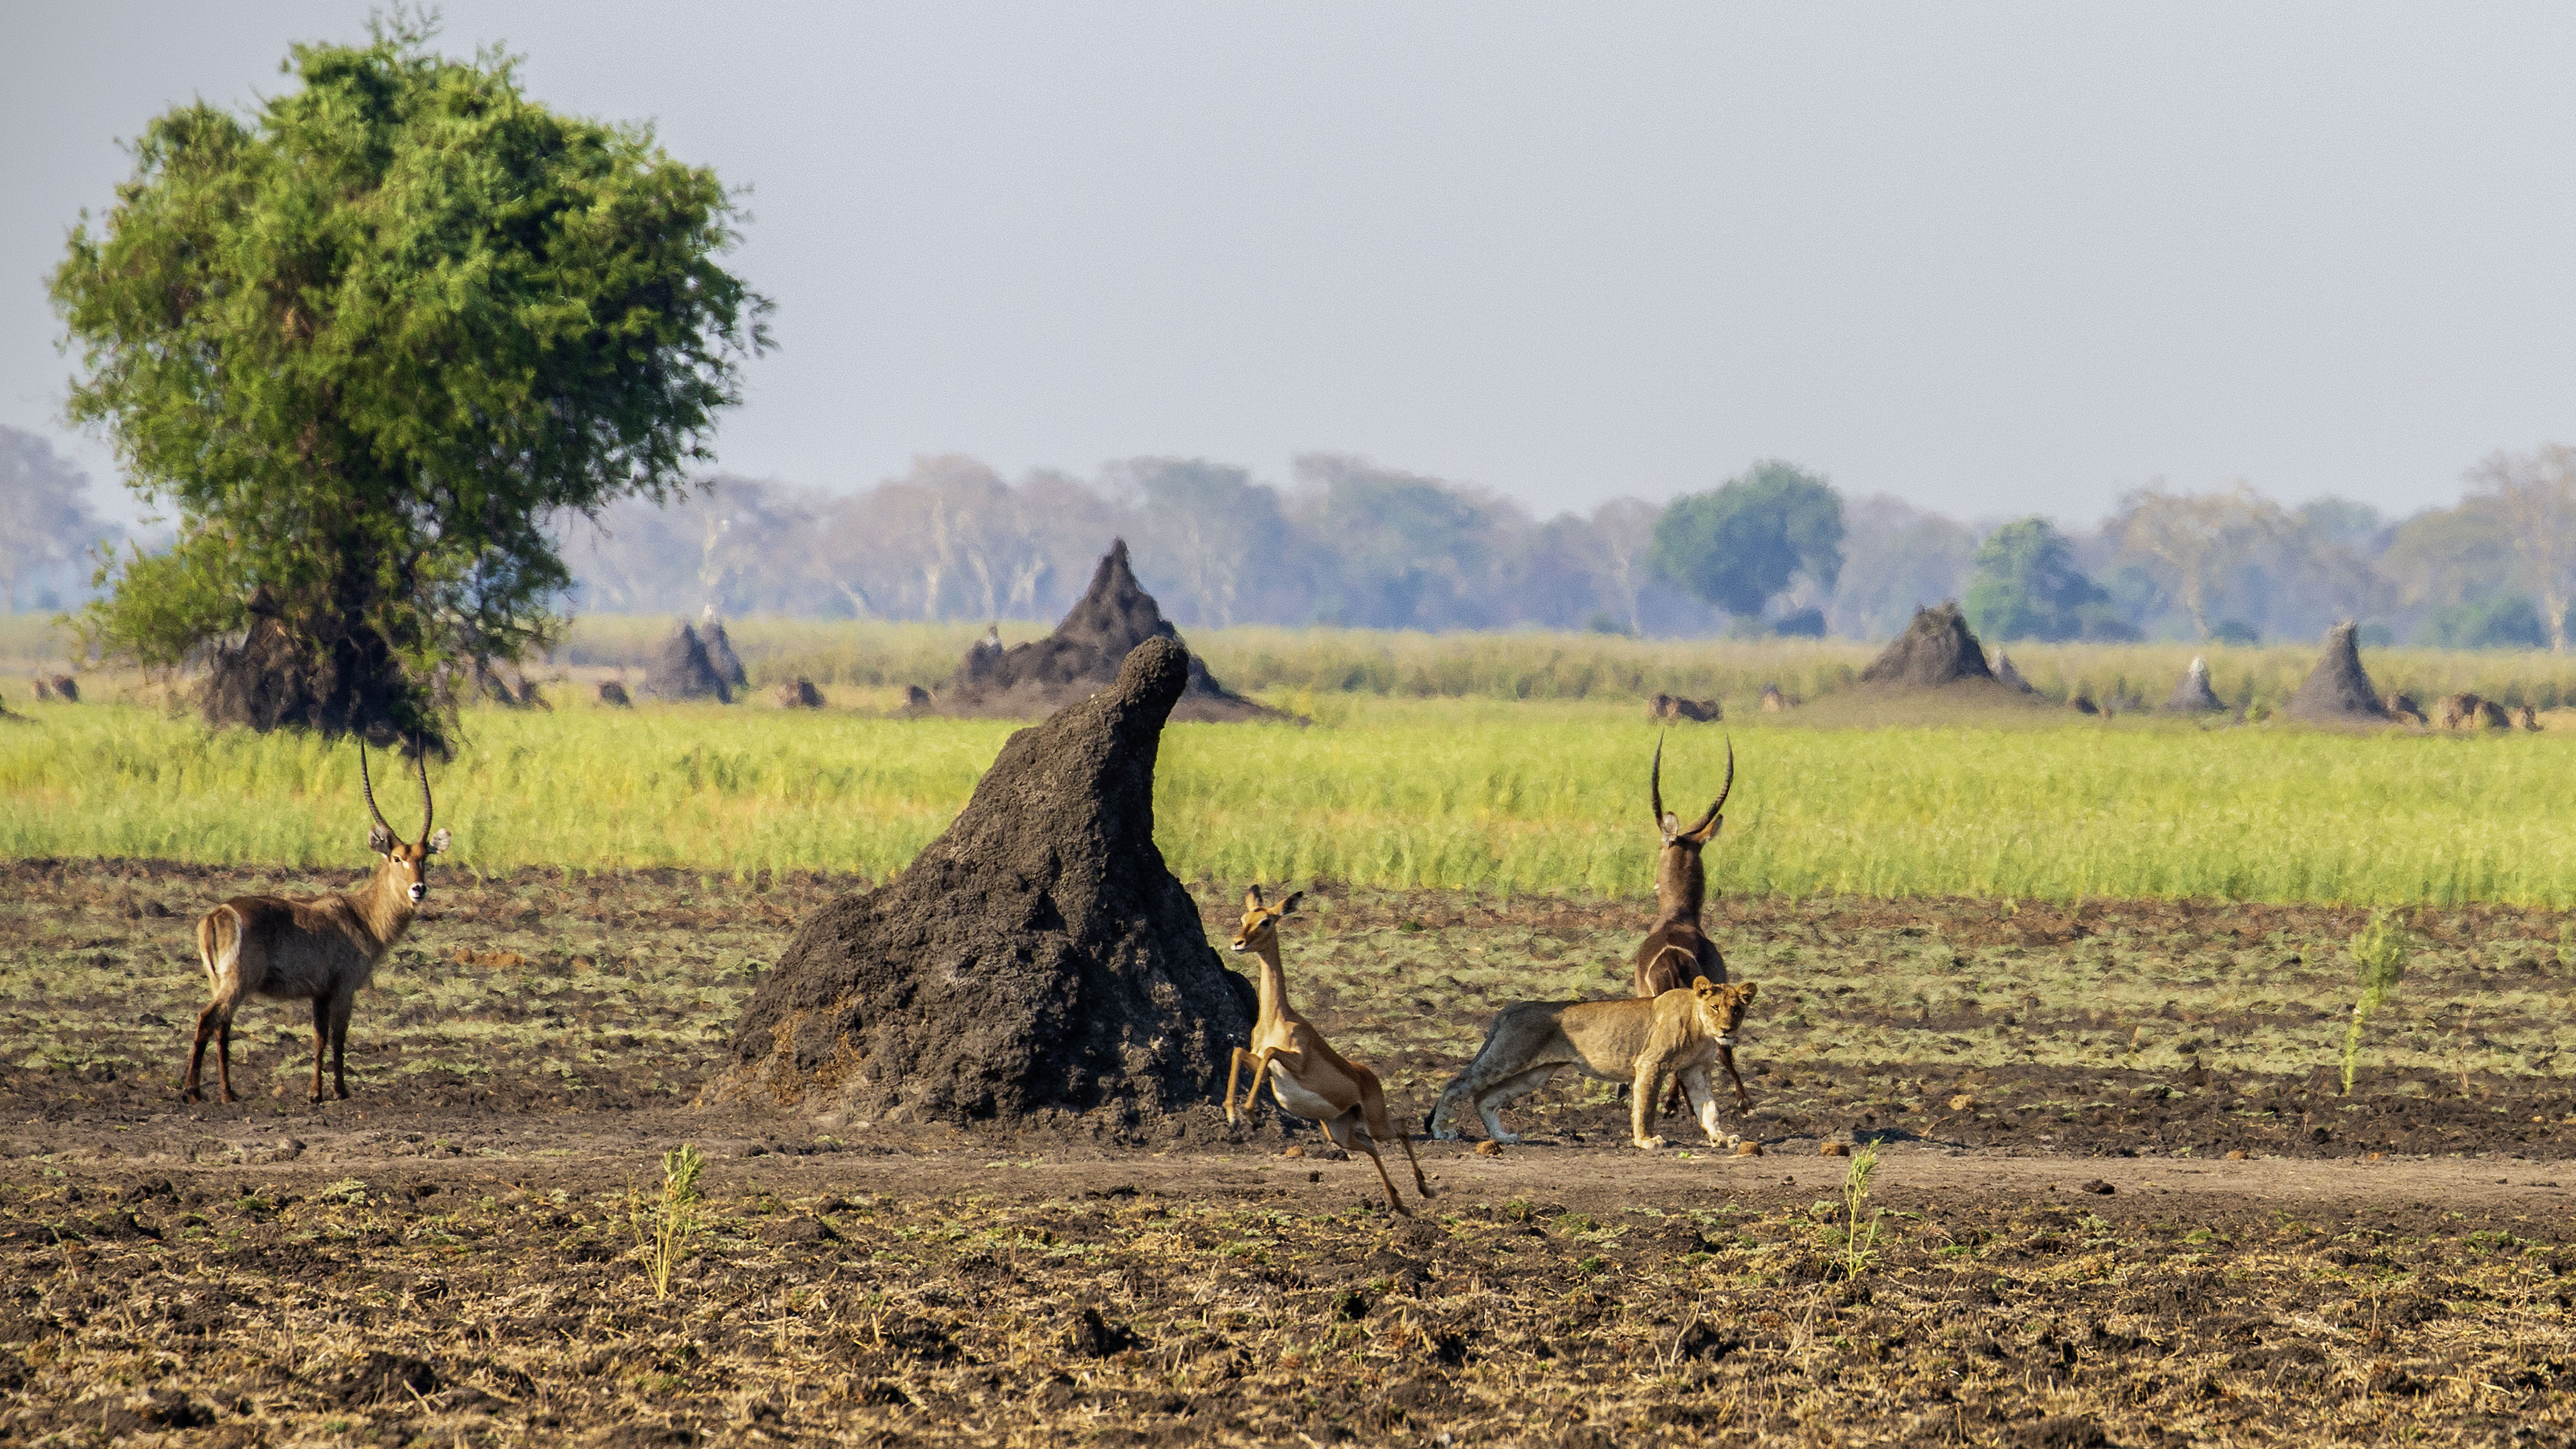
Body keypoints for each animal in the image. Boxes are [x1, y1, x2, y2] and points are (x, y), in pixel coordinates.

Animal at [179, 745, 450, 1105]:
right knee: (208, 1019)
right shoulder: (344, 988)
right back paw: (193, 1091)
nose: (419, 889)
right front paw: (340, 1091)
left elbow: (318, 1038)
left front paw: (315, 1093)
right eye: (397, 858)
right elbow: (339, 1037)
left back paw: (229, 1093)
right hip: (237, 983)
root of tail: (219, 913)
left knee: (223, 1027)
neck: (361, 914)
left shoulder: (319, 993)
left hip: (220, 982)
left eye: (424, 858)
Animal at [1224, 887, 1431, 1216]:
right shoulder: (1260, 1066)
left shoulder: (1294, 1063)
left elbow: (1270, 1052)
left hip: (1374, 1122)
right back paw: (1400, 1204)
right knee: (1373, 1147)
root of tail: (1369, 1076)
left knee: (1401, 1127)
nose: (1238, 943)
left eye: (1267, 921)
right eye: (1244, 918)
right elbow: (1237, 1052)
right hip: (1340, 1133)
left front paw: (1251, 1114)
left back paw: (1425, 1191)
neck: (1276, 1019)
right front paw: (1233, 1115)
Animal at [1428, 977, 1756, 1150]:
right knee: (1457, 1084)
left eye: (1736, 1009)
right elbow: (1646, 1107)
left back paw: (1502, 1138)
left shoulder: (1696, 1070)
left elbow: (1709, 1108)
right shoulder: (1651, 1064)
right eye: (1715, 1007)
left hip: (1534, 1074)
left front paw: (1721, 1137)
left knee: (1486, 1098)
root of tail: (1513, 1007)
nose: (1727, 1030)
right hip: (1508, 1057)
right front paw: (1646, 1140)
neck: (1701, 1030)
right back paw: (1440, 1132)